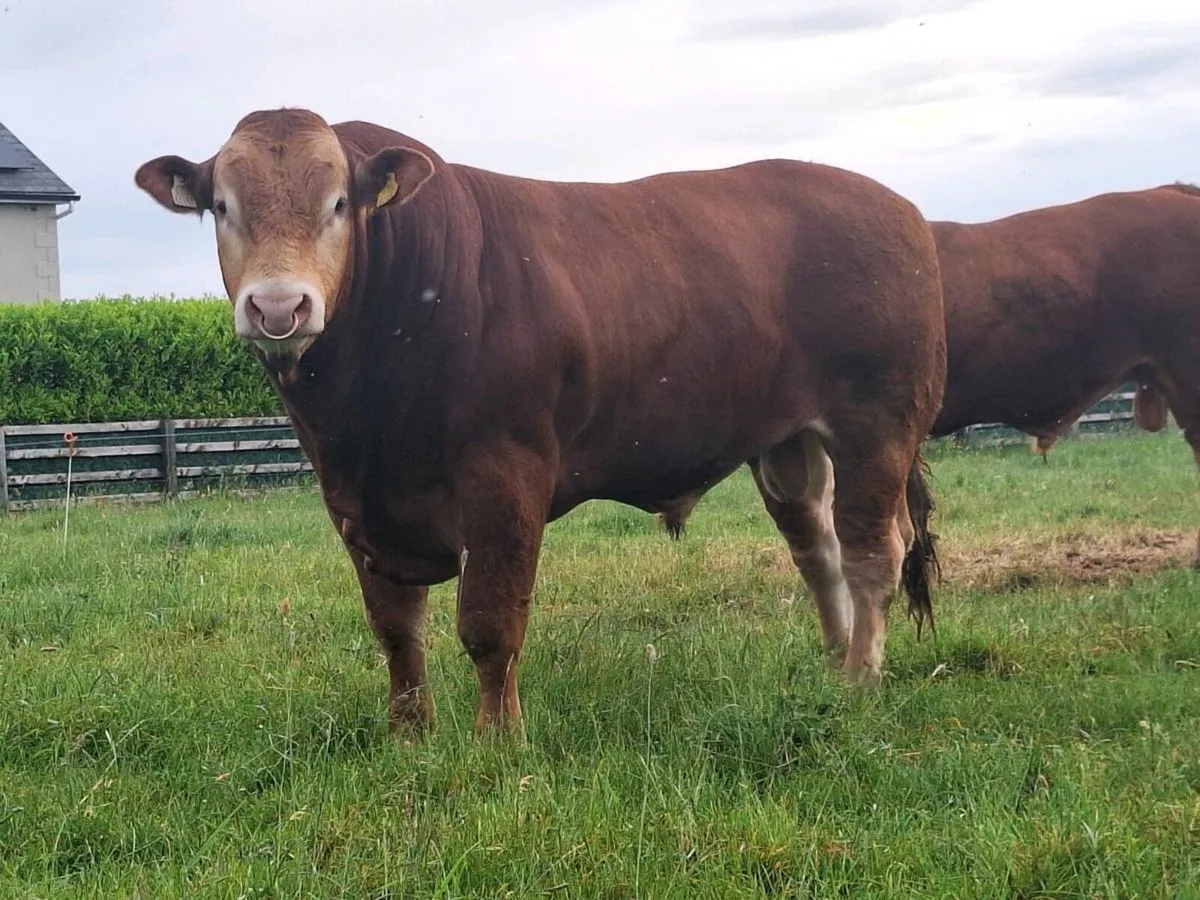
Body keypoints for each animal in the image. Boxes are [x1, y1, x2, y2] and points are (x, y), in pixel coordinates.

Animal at [134, 107, 946, 738]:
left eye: (338, 203)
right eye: (222, 206)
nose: (278, 306)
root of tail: (900, 208)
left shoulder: (505, 474)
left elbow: (491, 622)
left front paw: (498, 741)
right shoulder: (355, 498)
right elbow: (396, 629)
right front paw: (408, 734)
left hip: (878, 424)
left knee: (873, 550)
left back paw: (860, 680)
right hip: (788, 443)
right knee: (818, 548)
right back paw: (832, 662)